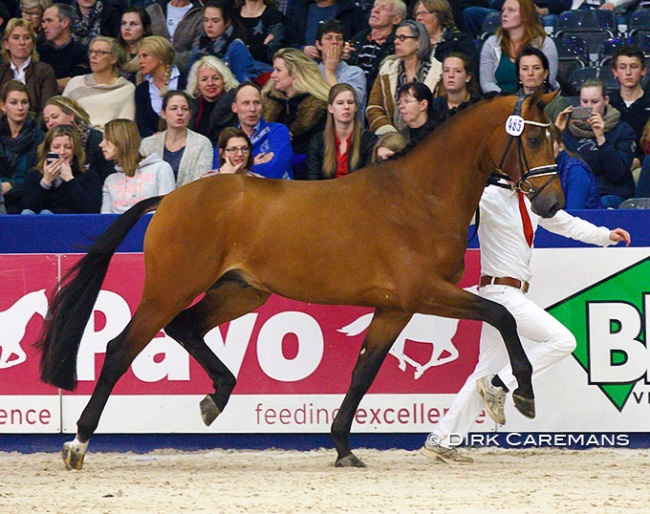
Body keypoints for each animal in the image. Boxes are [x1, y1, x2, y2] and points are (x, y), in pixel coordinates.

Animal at [38, 89, 560, 468]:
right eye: (535, 140)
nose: (552, 203)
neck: (421, 195)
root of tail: (169, 199)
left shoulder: (395, 307)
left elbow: (364, 372)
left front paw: (344, 447)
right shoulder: (425, 292)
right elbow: (500, 314)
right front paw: (524, 393)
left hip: (242, 293)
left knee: (185, 328)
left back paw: (215, 398)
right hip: (170, 288)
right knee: (120, 348)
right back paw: (78, 444)